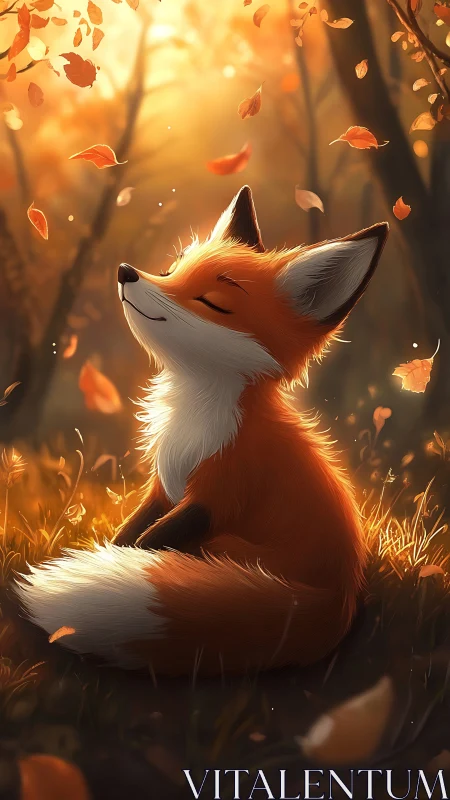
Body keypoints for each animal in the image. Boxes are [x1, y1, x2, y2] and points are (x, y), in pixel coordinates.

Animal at [16, 186, 388, 676]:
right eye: (172, 269)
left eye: (212, 300)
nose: (126, 272)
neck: (192, 424)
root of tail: (339, 600)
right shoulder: (162, 489)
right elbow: (129, 533)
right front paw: (109, 554)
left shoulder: (221, 491)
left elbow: (149, 543)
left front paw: (115, 566)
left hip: (228, 546)